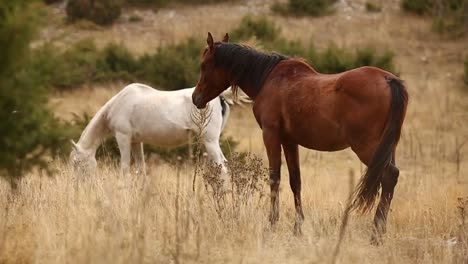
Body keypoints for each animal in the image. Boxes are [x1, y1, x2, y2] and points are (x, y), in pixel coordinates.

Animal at [70, 82, 249, 177]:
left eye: (76, 163)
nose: (77, 186)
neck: (119, 103)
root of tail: (220, 96)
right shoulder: (136, 142)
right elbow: (141, 169)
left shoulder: (123, 137)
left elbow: (125, 168)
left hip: (210, 141)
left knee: (222, 169)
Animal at [192, 32, 408, 243]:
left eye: (203, 65)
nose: (196, 98)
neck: (268, 79)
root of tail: (389, 80)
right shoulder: (290, 141)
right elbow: (295, 181)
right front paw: (298, 228)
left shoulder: (271, 135)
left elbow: (275, 179)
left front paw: (271, 225)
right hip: (387, 148)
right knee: (389, 181)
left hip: (366, 147)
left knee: (389, 175)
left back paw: (376, 234)